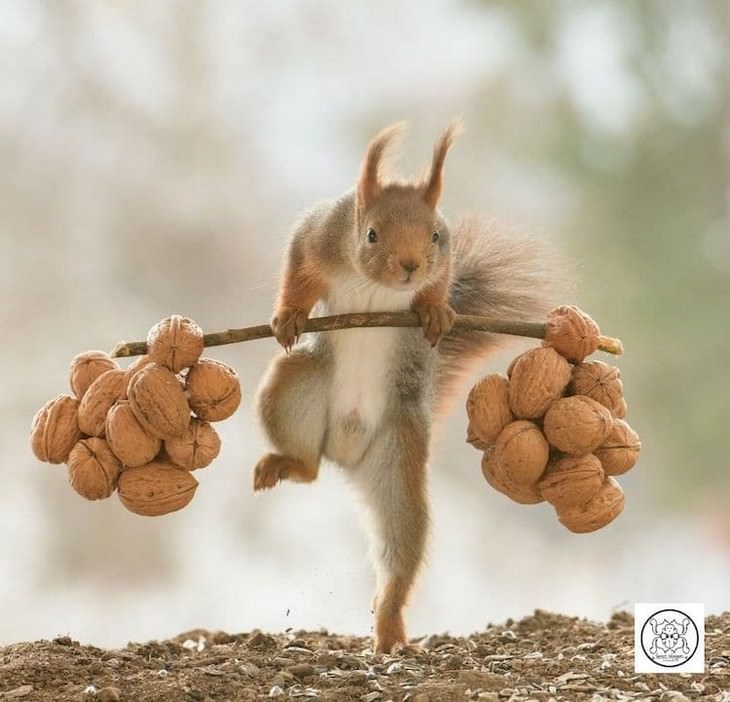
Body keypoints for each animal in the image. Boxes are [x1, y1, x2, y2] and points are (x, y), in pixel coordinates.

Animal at [253, 121, 556, 656]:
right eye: (371, 234)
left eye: (435, 234)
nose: (411, 265)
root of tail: (344, 451)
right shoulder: (318, 234)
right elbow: (297, 270)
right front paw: (288, 316)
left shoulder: (445, 257)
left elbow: (441, 285)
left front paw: (435, 310)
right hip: (291, 388)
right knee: (307, 466)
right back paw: (290, 463)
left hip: (399, 456)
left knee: (399, 546)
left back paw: (390, 628)